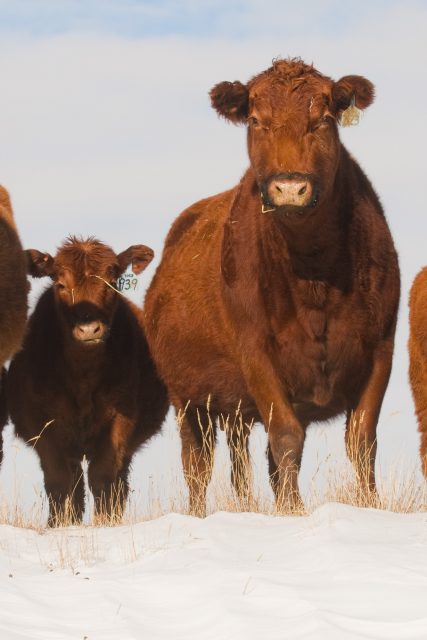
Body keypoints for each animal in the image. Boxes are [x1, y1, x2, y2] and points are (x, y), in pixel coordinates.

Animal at [5, 236, 169, 524]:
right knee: (74, 482)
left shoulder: (121, 419)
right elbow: (58, 481)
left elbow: (103, 478)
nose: (89, 329)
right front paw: (59, 525)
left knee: (116, 483)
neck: (83, 377)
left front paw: (105, 523)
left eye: (112, 281)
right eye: (60, 284)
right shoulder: (42, 424)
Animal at [146, 58, 402, 516]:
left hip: (233, 410)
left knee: (243, 461)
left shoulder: (381, 348)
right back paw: (198, 514)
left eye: (323, 119)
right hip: (188, 401)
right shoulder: (256, 353)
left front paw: (369, 505)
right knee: (197, 463)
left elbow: (361, 440)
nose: (289, 188)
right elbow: (286, 437)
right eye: (255, 120)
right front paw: (293, 512)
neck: (314, 273)